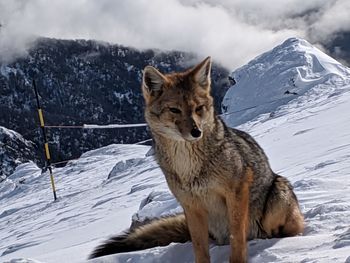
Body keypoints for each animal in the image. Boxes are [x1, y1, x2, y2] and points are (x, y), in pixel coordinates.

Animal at [89, 56, 304, 262]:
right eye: (175, 110)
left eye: (199, 108)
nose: (196, 132)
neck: (188, 164)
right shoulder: (191, 205)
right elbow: (199, 248)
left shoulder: (237, 190)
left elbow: (237, 238)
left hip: (276, 198)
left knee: (286, 229)